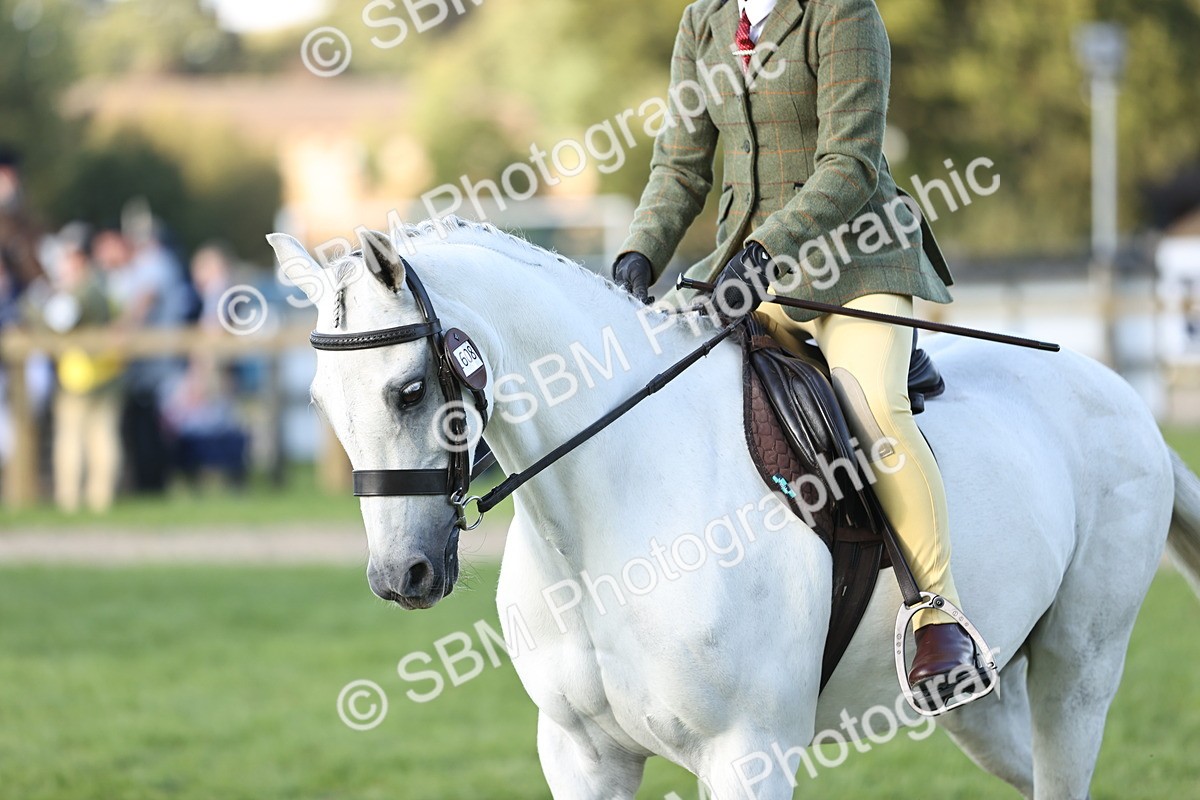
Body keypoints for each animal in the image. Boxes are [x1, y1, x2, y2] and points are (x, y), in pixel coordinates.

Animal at [268, 216, 1200, 799]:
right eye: (316, 404)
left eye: (408, 389)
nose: (402, 574)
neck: (604, 520)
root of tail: (1123, 397)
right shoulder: (581, 757)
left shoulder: (747, 755)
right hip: (984, 699)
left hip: (1078, 671)